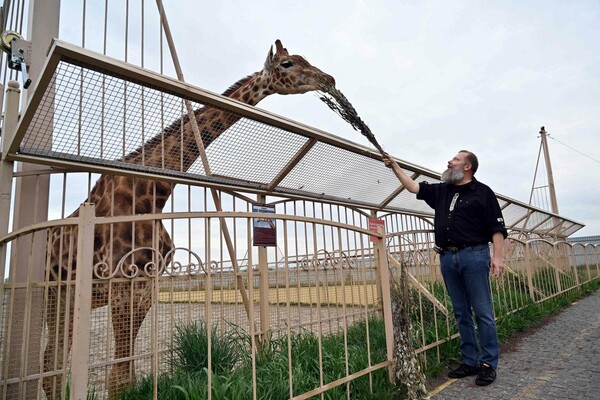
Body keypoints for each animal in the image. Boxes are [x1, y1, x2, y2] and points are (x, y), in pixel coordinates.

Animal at [44, 39, 336, 396]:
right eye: (287, 63)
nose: (329, 79)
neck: (152, 193)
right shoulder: (123, 283)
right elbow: (119, 378)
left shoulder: (147, 286)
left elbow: (125, 375)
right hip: (52, 297)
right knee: (50, 365)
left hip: (68, 301)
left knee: (52, 365)